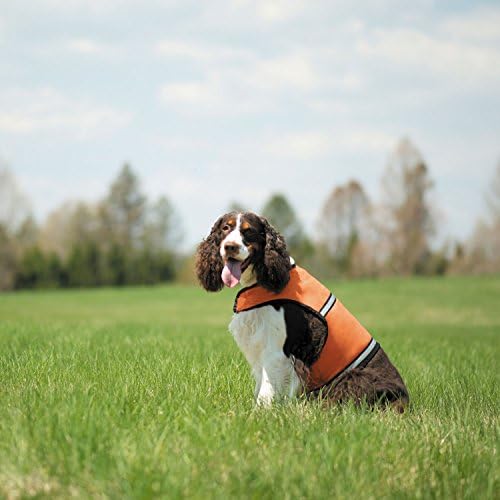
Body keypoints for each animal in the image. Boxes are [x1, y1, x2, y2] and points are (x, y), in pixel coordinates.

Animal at [195, 211, 410, 410]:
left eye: (248, 231)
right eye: (225, 228)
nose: (230, 246)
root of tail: (405, 399)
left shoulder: (276, 351)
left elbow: (266, 389)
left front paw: (257, 413)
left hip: (355, 376)